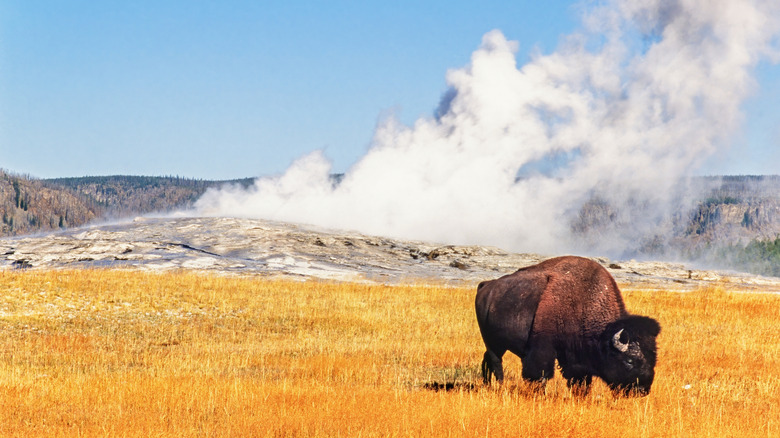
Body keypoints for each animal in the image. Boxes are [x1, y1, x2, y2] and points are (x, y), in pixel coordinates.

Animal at [475, 256, 660, 396]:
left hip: (498, 343)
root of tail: (486, 285)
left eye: (653, 359)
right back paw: (500, 385)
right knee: (496, 363)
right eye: (629, 361)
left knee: (487, 360)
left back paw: (488, 384)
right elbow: (539, 374)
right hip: (492, 342)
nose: (643, 390)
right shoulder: (543, 349)